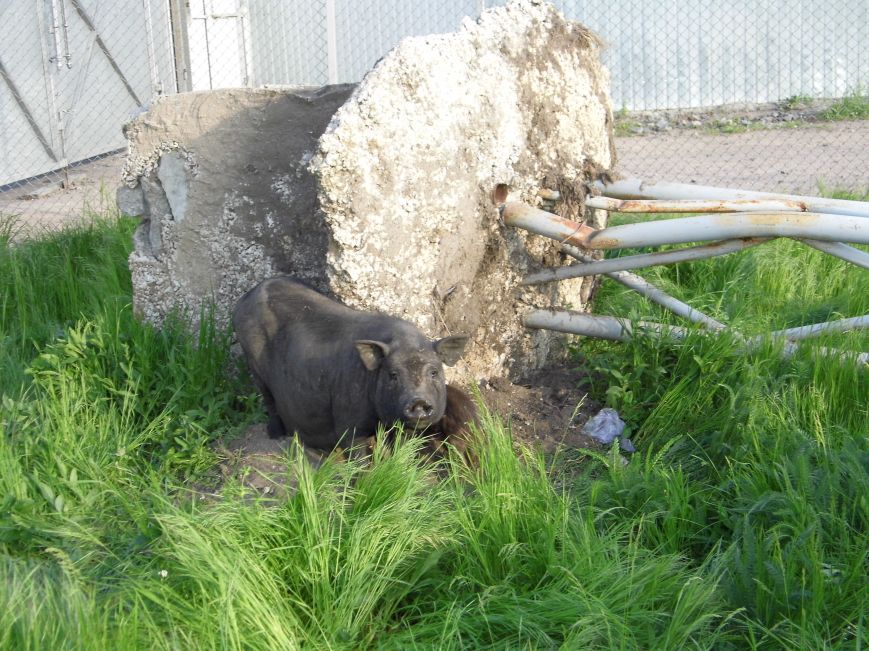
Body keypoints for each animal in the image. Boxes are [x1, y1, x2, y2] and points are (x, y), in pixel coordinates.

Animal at [232, 276, 468, 454]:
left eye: (434, 372)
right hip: (253, 362)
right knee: (268, 399)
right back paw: (276, 435)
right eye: (393, 375)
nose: (418, 401)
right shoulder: (348, 418)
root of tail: (247, 297)